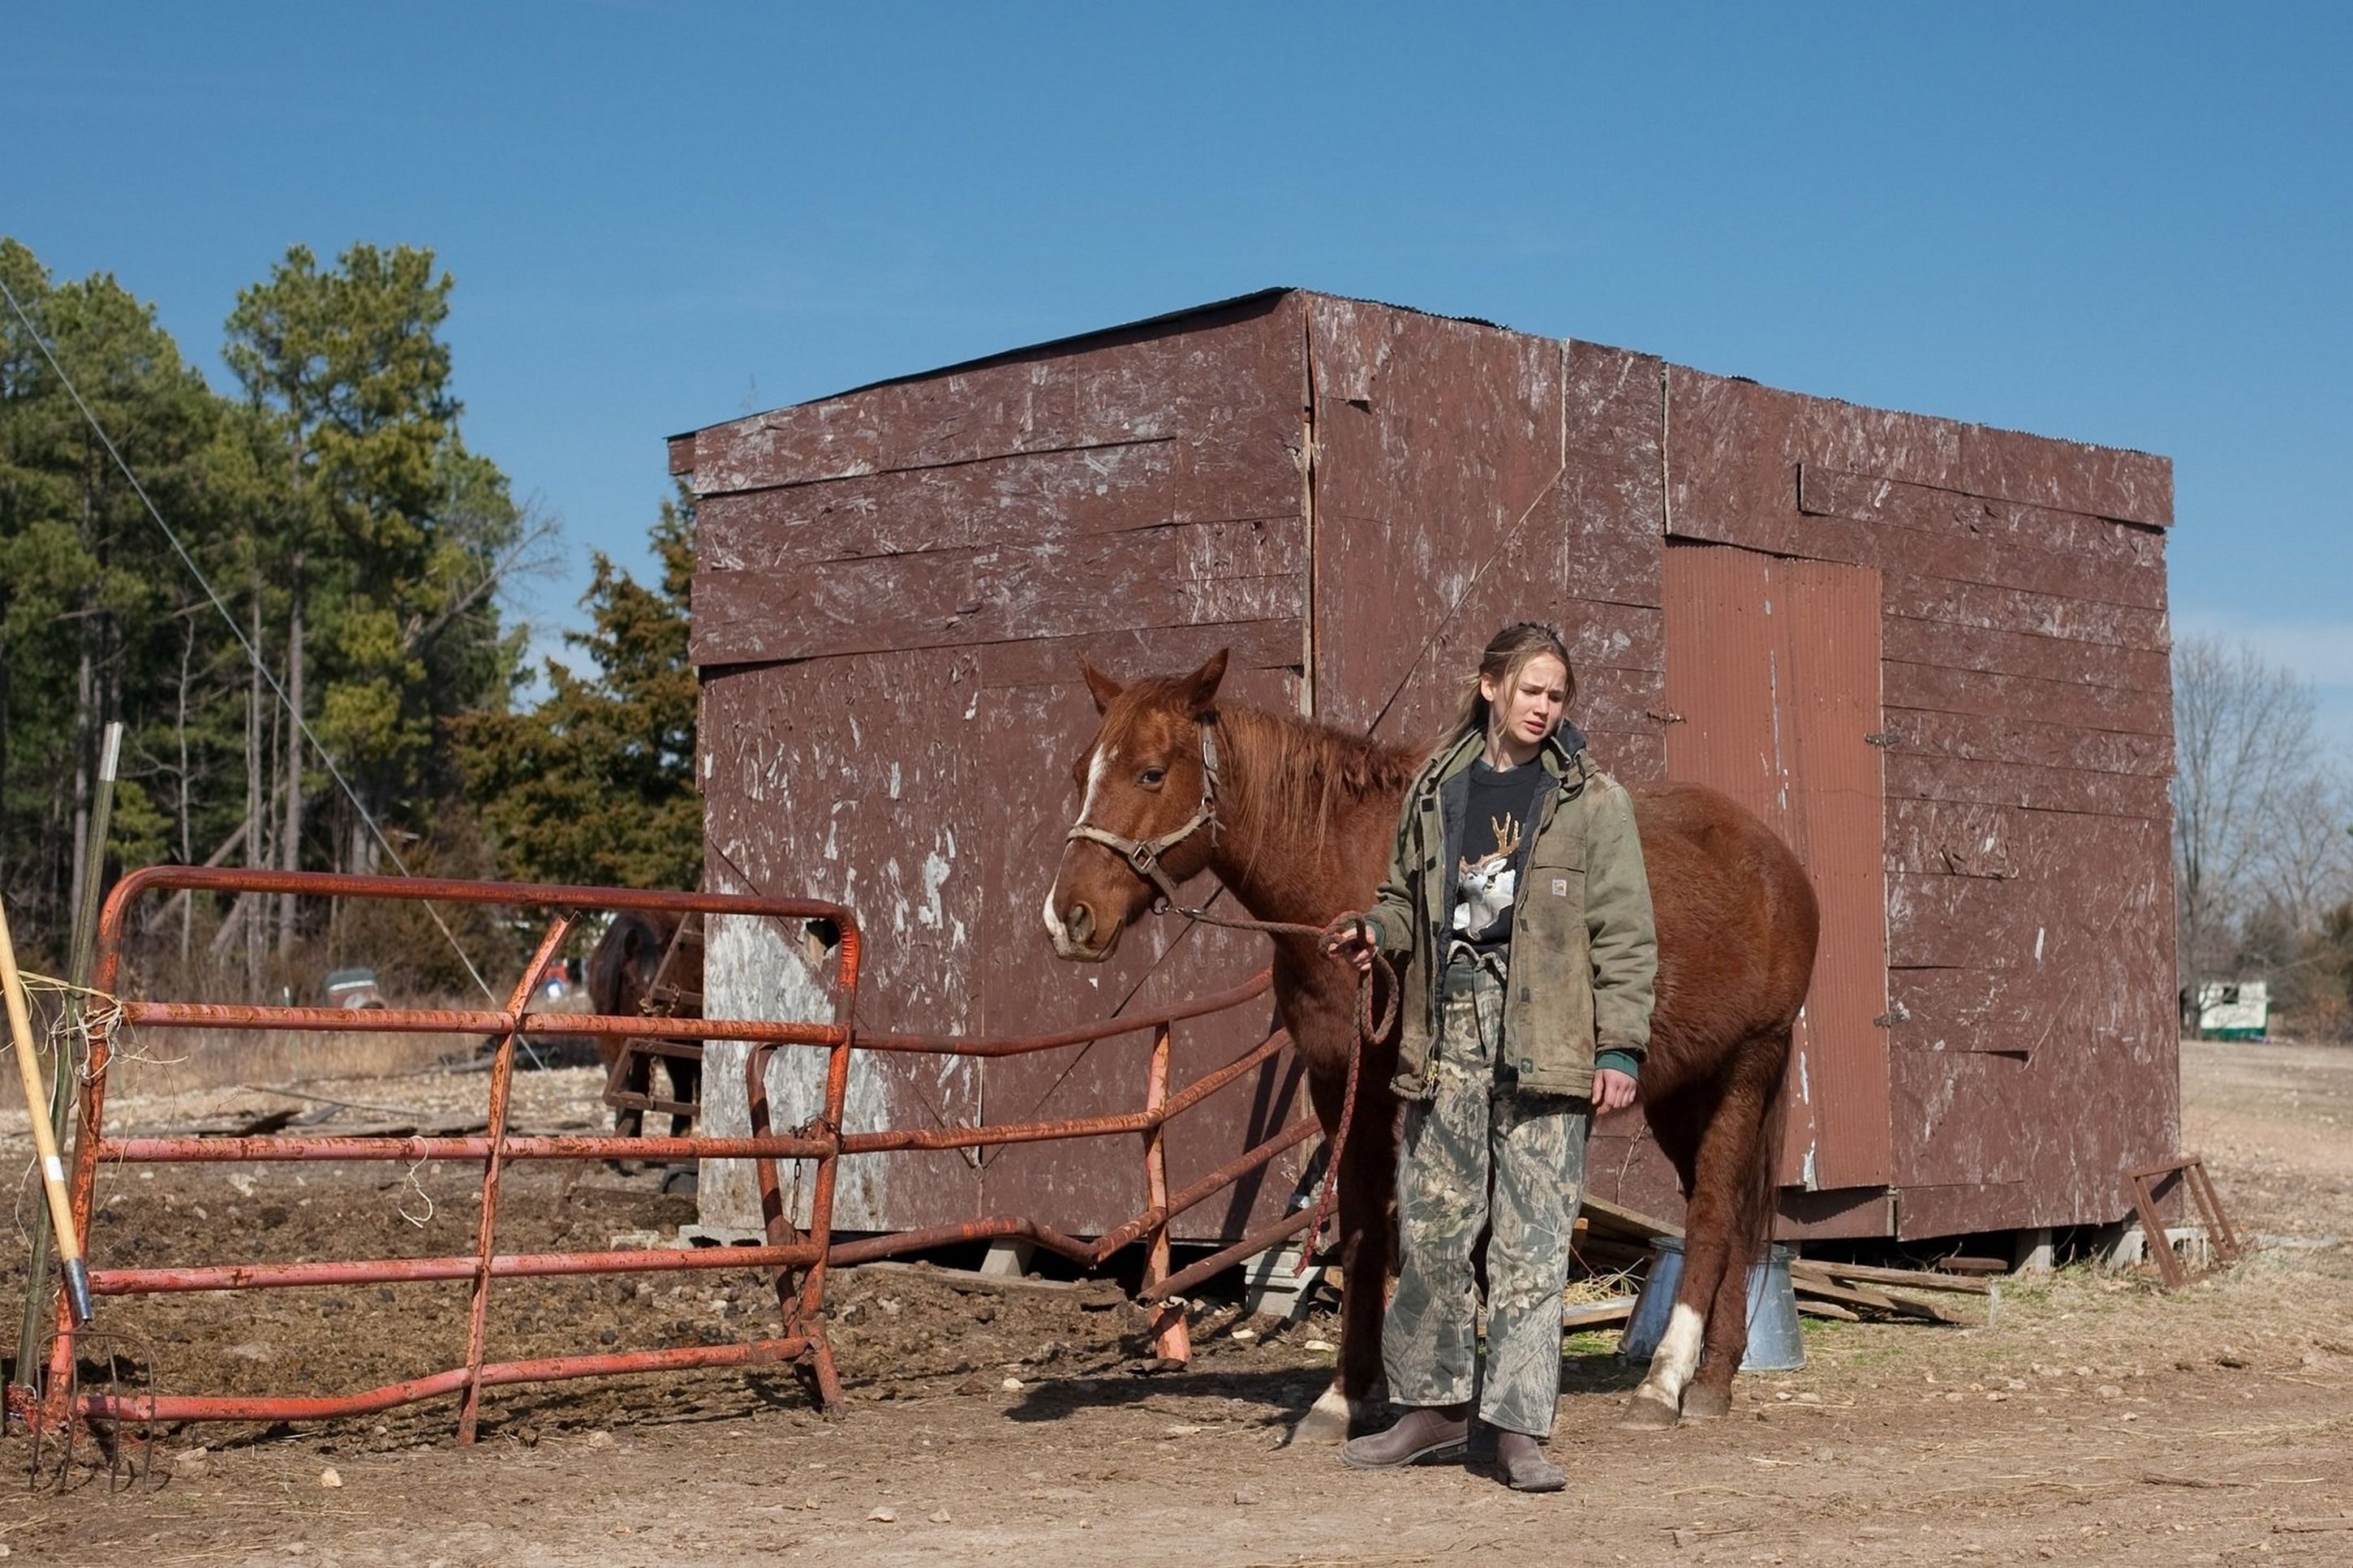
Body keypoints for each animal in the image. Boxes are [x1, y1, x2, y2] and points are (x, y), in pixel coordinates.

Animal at [583, 907, 701, 1142]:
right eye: (629, 983)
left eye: (664, 985)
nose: (652, 1033)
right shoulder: (609, 1044)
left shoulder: (641, 1051)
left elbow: (637, 1091)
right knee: (682, 1082)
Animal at [1049, 648, 1816, 1438]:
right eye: (1081, 772)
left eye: (1151, 773)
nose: (1068, 918)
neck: (1344, 872)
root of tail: (1775, 862)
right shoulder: (1340, 1080)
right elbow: (1363, 1231)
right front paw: (1347, 1395)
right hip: (1681, 1091)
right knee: (1727, 1215)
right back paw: (1714, 1379)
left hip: (1746, 1068)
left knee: (1715, 1212)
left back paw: (1664, 1381)